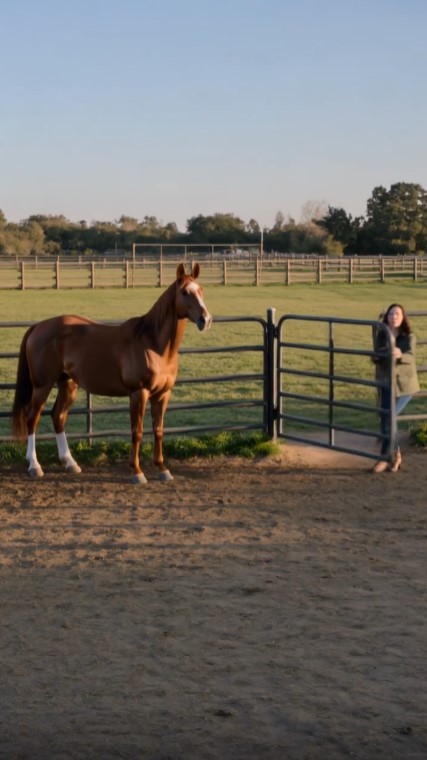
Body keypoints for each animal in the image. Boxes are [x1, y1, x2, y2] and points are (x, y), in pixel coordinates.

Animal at [11, 262, 212, 484]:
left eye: (201, 290)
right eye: (185, 292)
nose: (205, 319)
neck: (153, 344)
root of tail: (38, 326)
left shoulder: (162, 394)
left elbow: (158, 430)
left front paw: (162, 469)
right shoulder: (139, 393)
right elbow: (137, 432)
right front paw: (137, 471)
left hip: (68, 384)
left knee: (58, 416)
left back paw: (70, 463)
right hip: (42, 385)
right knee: (32, 418)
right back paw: (34, 465)